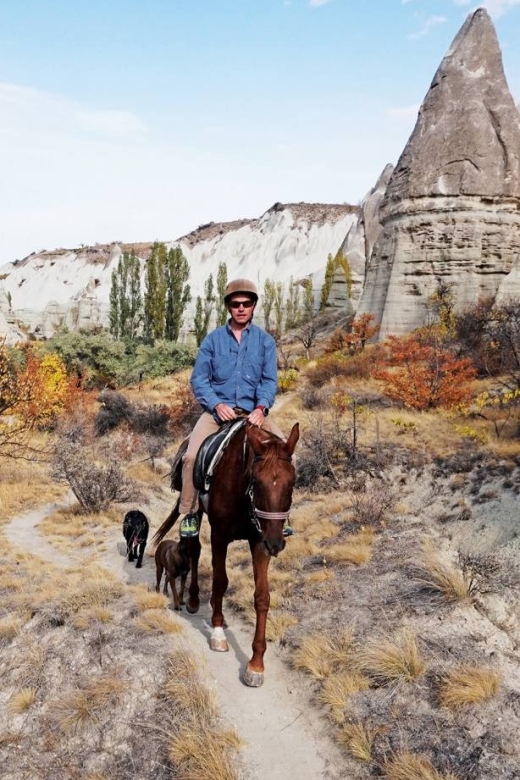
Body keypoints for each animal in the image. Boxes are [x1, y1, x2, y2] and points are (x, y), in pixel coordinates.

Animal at [152, 424, 298, 684]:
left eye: (292, 482)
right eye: (256, 482)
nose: (275, 543)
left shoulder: (259, 541)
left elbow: (262, 597)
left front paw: (256, 664)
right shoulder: (219, 535)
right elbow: (220, 582)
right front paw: (218, 634)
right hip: (196, 510)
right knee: (194, 549)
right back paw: (193, 600)